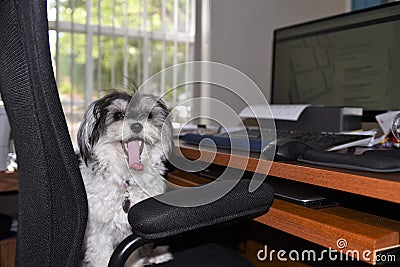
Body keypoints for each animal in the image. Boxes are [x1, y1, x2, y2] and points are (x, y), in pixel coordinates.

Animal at [78, 91, 173, 266]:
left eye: (149, 115)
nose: (136, 126)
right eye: (118, 115)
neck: (127, 181)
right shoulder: (100, 233)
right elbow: (102, 258)